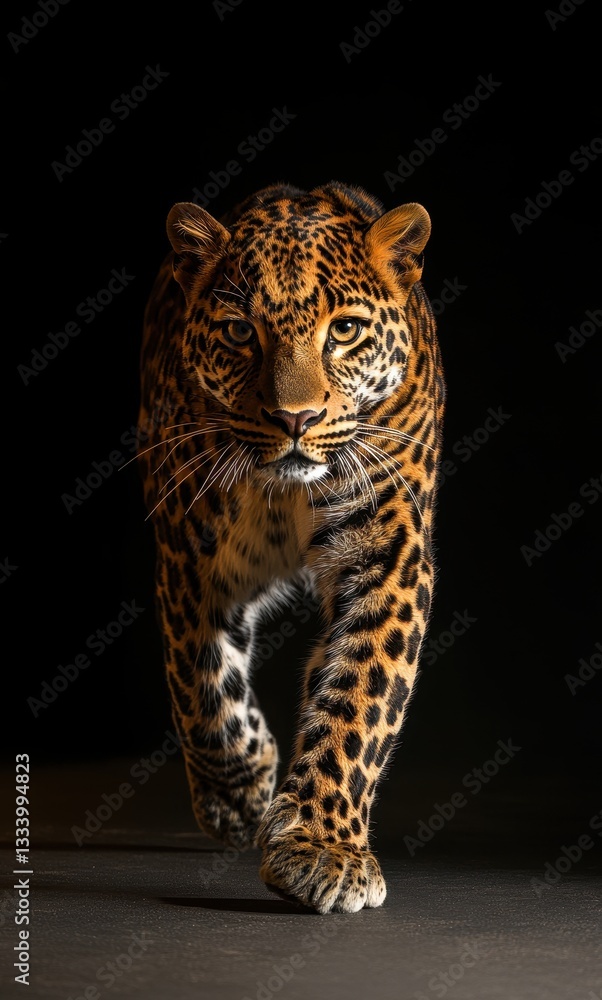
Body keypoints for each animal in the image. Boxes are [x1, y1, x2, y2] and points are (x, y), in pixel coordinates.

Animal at [137, 180, 445, 913]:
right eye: (239, 332)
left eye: (345, 331)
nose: (295, 419)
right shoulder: (187, 547)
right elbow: (200, 681)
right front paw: (241, 794)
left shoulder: (389, 554)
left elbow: (361, 695)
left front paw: (321, 851)